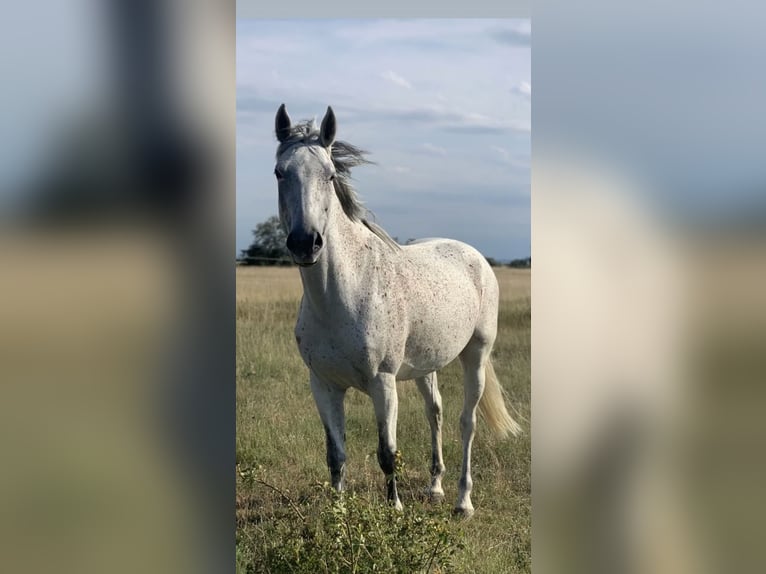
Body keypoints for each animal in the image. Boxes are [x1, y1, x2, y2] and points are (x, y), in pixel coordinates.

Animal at [272, 103, 520, 516]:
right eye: (279, 172)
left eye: (330, 174)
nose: (306, 243)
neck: (343, 294)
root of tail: (474, 256)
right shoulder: (323, 385)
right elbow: (335, 455)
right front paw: (338, 515)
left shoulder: (383, 383)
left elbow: (387, 452)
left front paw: (396, 510)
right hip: (426, 366)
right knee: (435, 412)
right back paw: (435, 487)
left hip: (476, 355)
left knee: (466, 423)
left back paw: (463, 501)